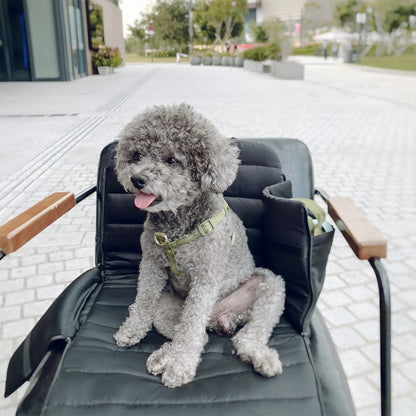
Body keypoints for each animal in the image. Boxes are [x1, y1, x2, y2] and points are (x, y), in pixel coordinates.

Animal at [113, 103, 286, 386]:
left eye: (172, 160)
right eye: (137, 155)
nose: (137, 179)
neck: (177, 225)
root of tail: (220, 317)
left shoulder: (206, 277)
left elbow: (191, 325)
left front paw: (180, 366)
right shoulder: (151, 264)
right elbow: (144, 299)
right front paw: (132, 330)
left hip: (270, 286)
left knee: (234, 332)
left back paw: (260, 357)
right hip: (166, 309)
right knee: (197, 333)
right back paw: (163, 356)